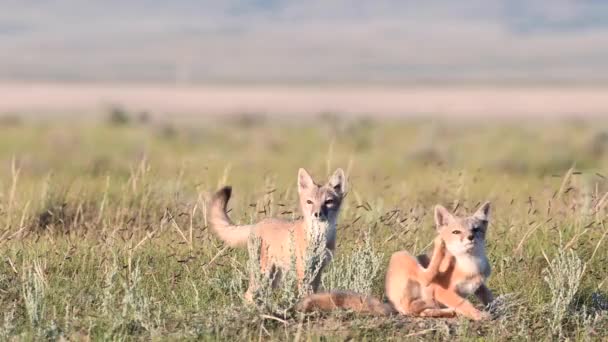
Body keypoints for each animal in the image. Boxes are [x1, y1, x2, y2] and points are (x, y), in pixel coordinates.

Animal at [209, 168, 346, 302]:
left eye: (328, 202)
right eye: (309, 202)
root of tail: (256, 224)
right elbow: (306, 295)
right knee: (248, 295)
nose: (317, 214)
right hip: (263, 274)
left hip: (272, 278)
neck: (319, 238)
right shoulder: (303, 271)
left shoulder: (318, 271)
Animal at [300, 202, 494, 322]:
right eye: (456, 232)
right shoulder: (442, 290)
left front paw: (494, 307)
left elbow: (488, 296)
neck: (470, 265)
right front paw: (478, 314)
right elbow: (463, 303)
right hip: (402, 256)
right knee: (415, 299)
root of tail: (390, 303)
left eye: (476, 229)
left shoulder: (479, 284)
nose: (470, 237)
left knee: (419, 310)